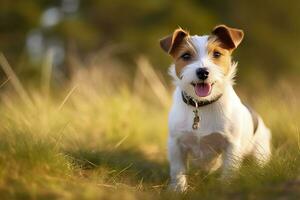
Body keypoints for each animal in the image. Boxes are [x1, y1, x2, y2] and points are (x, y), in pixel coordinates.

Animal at [159, 24, 272, 191]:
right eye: (186, 56)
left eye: (217, 54)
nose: (203, 72)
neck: (202, 104)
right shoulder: (176, 144)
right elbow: (178, 170)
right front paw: (178, 190)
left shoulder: (232, 146)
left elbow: (229, 170)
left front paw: (225, 188)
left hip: (260, 151)